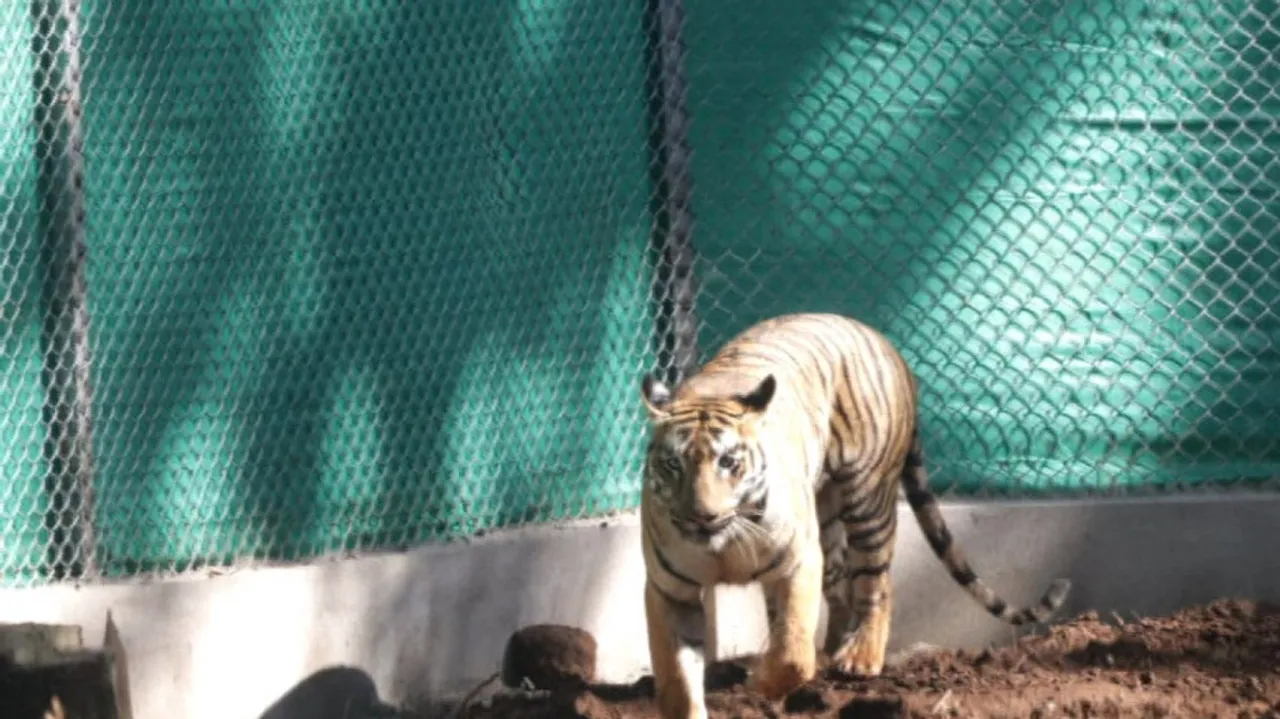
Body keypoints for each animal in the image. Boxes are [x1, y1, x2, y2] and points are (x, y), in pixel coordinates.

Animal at [638, 312, 1071, 719]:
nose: (701, 516)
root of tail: (886, 343)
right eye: (673, 465)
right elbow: (678, 679)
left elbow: (792, 652)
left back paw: (861, 658)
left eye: (728, 462)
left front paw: (761, 684)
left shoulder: (797, 562)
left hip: (868, 502)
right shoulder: (669, 590)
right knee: (841, 587)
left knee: (876, 583)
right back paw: (834, 648)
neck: (723, 543)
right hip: (827, 520)